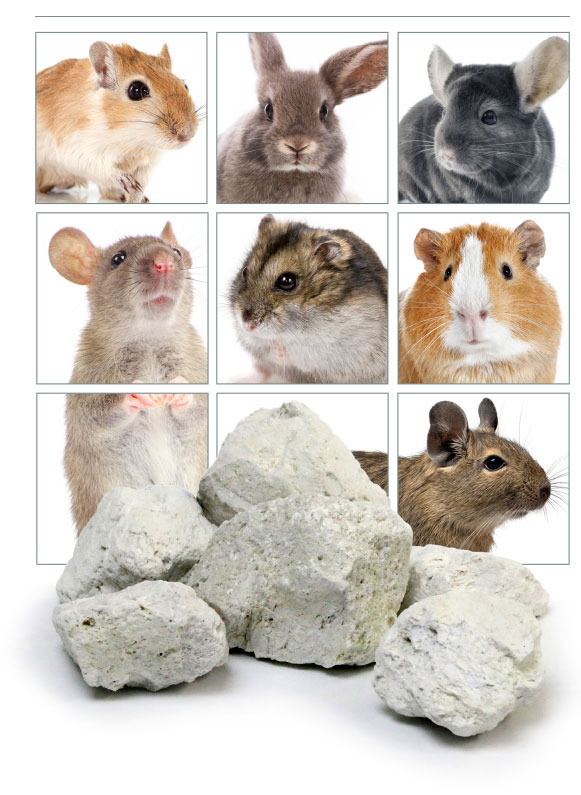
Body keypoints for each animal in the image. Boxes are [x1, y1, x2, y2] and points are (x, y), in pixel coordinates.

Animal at [36, 41, 199, 203]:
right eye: (136, 90)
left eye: (185, 85)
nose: (187, 135)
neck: (132, 142)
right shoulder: (77, 148)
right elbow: (108, 170)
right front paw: (129, 184)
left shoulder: (146, 165)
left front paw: (139, 198)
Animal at [229, 214, 387, 383]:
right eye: (244, 272)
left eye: (287, 281)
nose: (247, 325)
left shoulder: (328, 347)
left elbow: (293, 352)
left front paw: (278, 348)